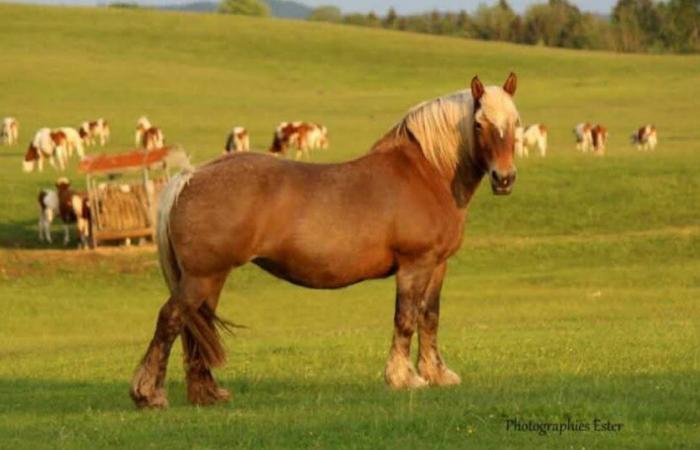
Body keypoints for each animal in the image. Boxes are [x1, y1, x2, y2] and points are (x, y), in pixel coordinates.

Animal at [131, 73, 524, 408]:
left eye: (516, 122)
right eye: (479, 124)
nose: (504, 179)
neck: (426, 173)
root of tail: (190, 176)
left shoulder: (437, 265)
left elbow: (430, 317)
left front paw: (437, 374)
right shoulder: (415, 265)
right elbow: (406, 318)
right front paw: (403, 378)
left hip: (210, 279)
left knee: (195, 326)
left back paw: (207, 393)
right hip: (202, 278)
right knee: (170, 318)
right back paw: (149, 394)